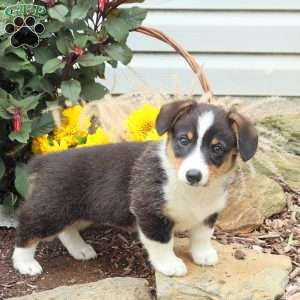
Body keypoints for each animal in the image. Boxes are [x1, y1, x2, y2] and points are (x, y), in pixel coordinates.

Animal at [12, 100, 258, 276]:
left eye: (217, 148)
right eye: (183, 140)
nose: (193, 175)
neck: (192, 191)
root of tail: (45, 160)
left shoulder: (208, 214)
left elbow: (202, 236)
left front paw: (204, 256)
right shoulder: (150, 214)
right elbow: (162, 243)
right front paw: (170, 265)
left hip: (79, 212)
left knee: (66, 229)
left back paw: (80, 249)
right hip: (51, 209)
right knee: (27, 228)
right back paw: (25, 264)